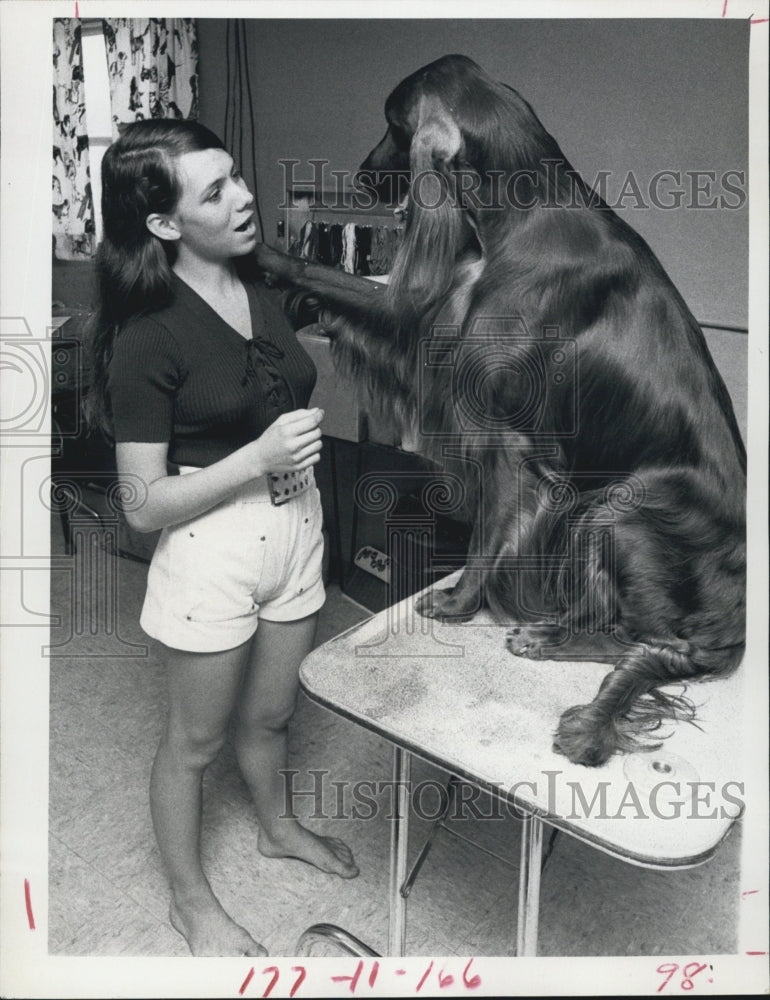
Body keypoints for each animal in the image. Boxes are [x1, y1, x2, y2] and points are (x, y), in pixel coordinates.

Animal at [256, 54, 744, 768]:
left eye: (392, 124)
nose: (363, 176)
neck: (521, 213)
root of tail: (735, 617)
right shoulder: (427, 330)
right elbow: (341, 287)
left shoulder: (511, 439)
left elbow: (489, 531)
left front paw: (461, 602)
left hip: (619, 507)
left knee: (641, 638)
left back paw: (547, 637)